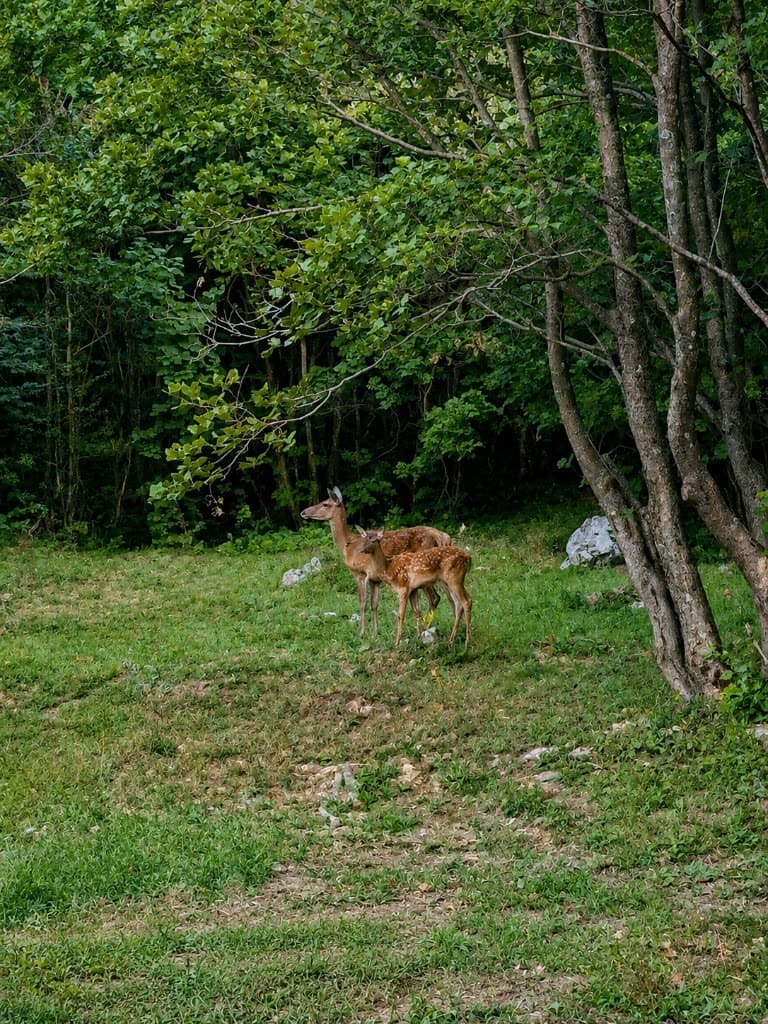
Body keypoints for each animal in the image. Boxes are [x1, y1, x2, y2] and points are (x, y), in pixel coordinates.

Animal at [300, 486, 451, 637]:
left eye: (325, 504)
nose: (303, 512)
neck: (348, 545)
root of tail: (443, 537)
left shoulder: (359, 573)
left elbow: (362, 602)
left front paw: (361, 632)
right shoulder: (375, 578)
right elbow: (374, 604)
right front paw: (374, 633)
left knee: (435, 597)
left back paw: (425, 630)